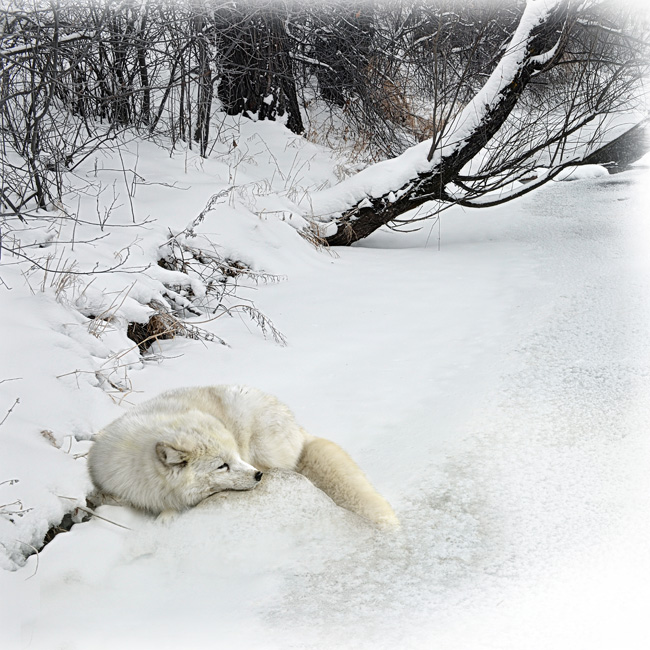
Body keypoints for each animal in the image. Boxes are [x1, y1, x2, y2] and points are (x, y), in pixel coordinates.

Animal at [88, 384, 398, 528]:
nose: (256, 476)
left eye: (234, 457)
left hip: (259, 440)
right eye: (222, 466)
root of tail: (297, 427)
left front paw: (166, 519)